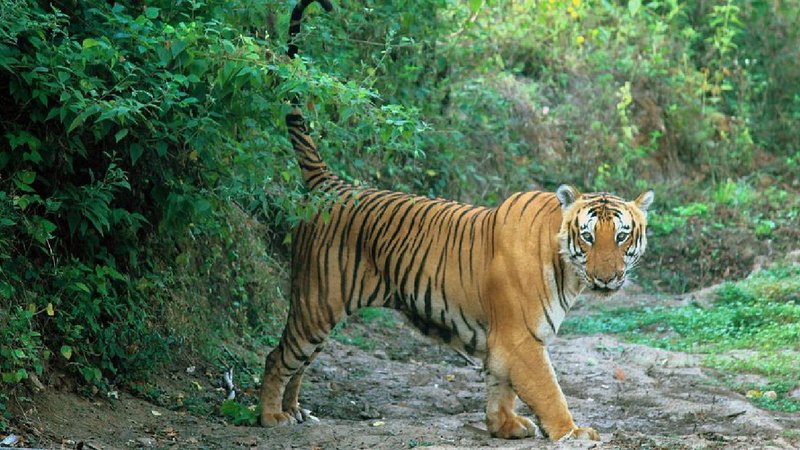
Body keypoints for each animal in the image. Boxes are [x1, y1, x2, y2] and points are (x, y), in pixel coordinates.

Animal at [259, 0, 654, 441]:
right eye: (587, 237)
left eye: (621, 237)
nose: (606, 278)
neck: (567, 270)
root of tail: (331, 181)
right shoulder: (521, 338)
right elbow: (549, 391)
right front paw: (573, 432)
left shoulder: (504, 342)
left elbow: (500, 386)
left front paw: (504, 425)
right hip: (316, 302)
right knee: (279, 356)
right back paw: (271, 417)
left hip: (323, 313)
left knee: (300, 362)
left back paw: (294, 410)